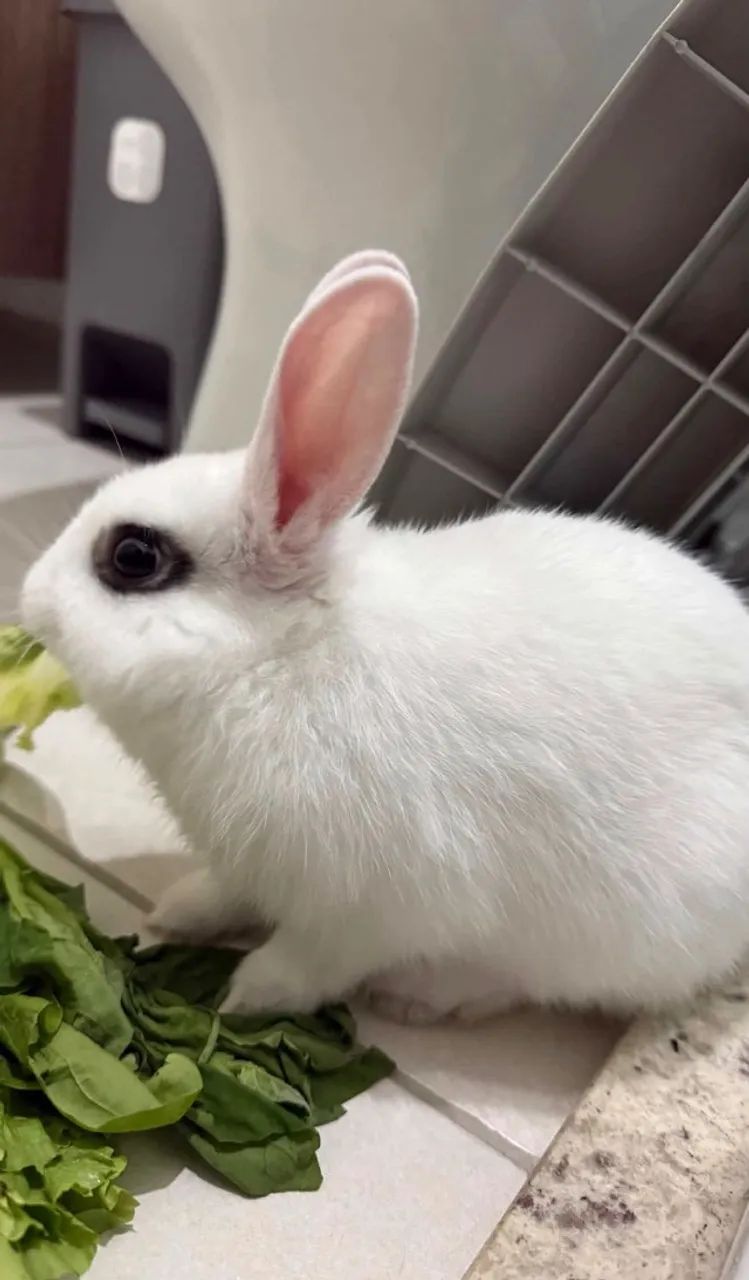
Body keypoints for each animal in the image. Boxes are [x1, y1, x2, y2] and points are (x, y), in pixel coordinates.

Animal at [21, 249, 749, 1025]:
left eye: (134, 557)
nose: (29, 594)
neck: (278, 659)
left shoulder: (369, 913)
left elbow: (305, 964)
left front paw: (239, 998)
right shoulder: (252, 867)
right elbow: (225, 894)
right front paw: (175, 911)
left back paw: (416, 999)